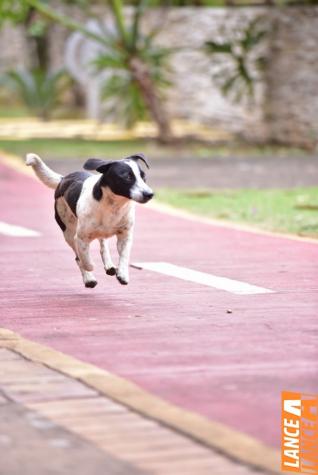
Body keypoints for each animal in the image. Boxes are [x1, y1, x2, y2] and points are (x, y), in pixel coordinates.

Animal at [25, 153, 154, 286]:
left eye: (143, 176)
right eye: (127, 177)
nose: (149, 194)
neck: (113, 206)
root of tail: (63, 179)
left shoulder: (125, 236)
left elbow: (124, 256)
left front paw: (122, 274)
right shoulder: (80, 238)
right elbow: (84, 260)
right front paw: (89, 268)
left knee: (103, 245)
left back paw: (109, 265)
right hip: (68, 232)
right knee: (78, 256)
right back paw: (89, 279)